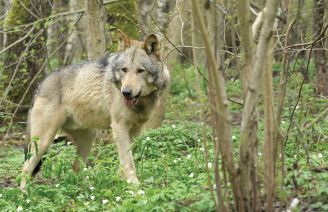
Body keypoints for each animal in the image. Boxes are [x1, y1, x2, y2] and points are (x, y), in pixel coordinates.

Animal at [19, 29, 170, 190]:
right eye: (124, 70)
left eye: (140, 71)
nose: (126, 92)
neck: (141, 101)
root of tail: (40, 85)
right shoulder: (119, 127)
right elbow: (128, 162)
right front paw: (134, 187)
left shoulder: (136, 130)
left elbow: (124, 162)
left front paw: (121, 184)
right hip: (43, 142)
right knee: (26, 168)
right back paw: (24, 194)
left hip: (88, 138)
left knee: (75, 167)